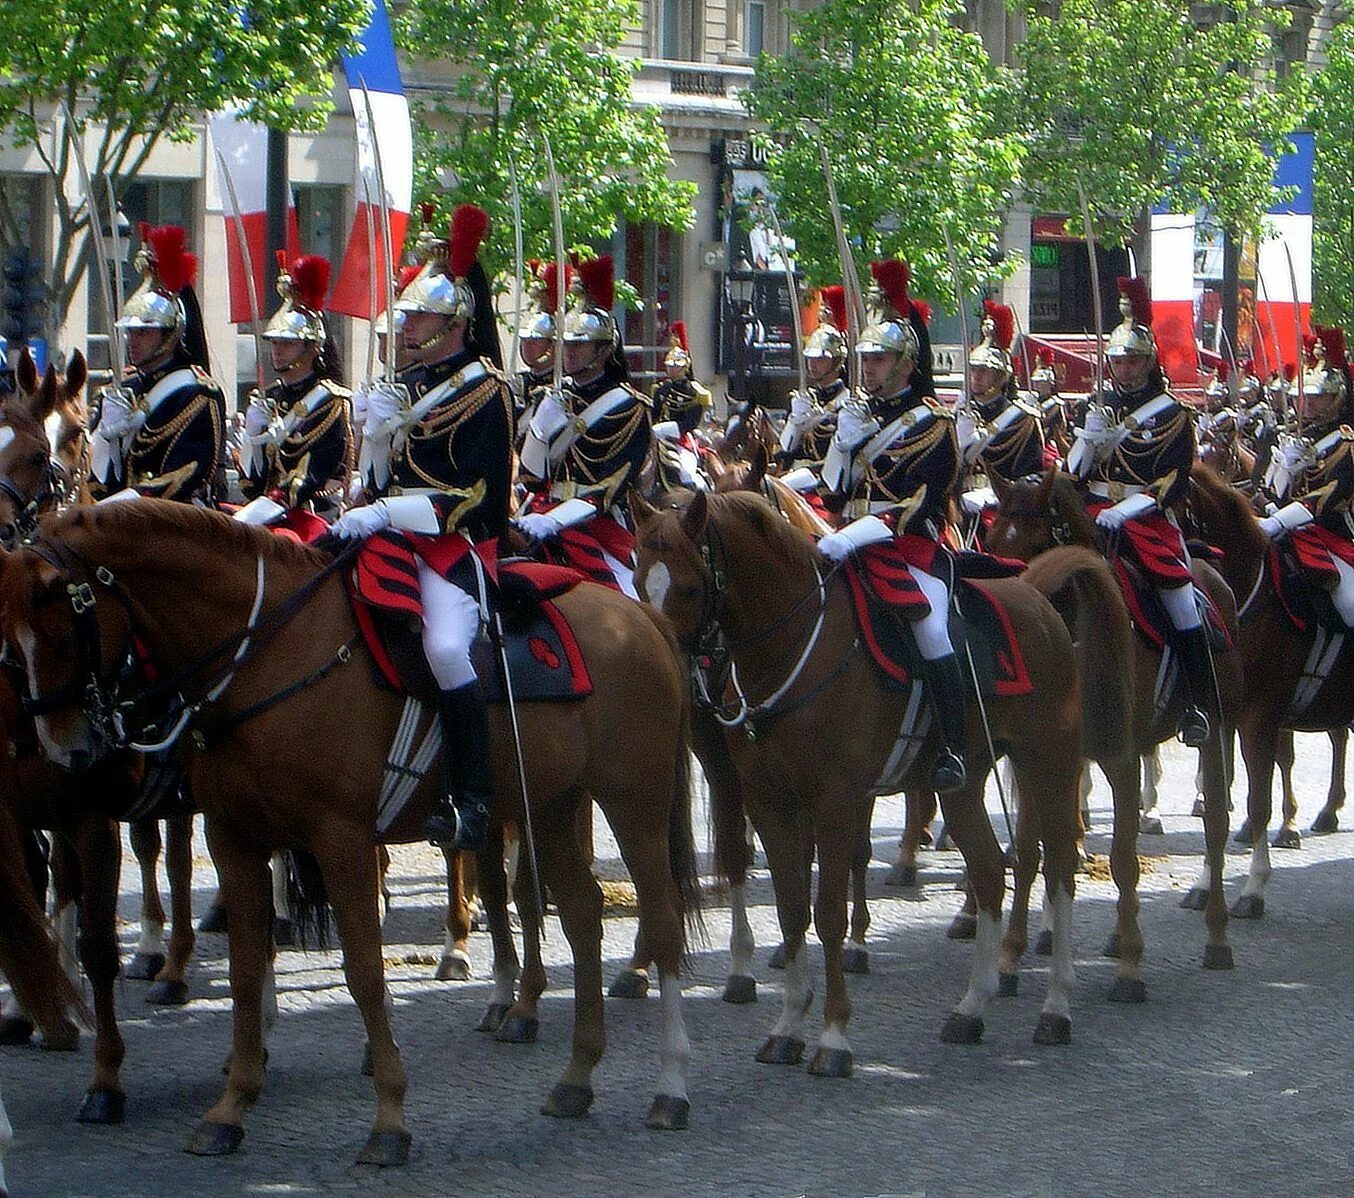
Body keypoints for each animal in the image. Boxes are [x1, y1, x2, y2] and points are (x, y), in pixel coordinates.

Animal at [0, 500, 704, 1164]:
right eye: (10, 646)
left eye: (62, 634)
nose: (67, 749)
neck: (268, 649)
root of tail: (639, 615)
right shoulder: (233, 837)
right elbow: (249, 967)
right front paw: (231, 1107)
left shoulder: (338, 839)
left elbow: (364, 970)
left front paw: (389, 1118)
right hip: (557, 802)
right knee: (583, 917)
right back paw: (576, 1078)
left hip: (633, 804)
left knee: (661, 918)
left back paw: (670, 1086)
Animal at [633, 487, 1088, 1077]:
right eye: (638, 580)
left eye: (689, 587)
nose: (671, 671)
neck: (794, 644)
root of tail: (1036, 598)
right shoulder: (769, 804)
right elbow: (791, 909)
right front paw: (787, 1028)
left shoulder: (834, 803)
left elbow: (827, 914)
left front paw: (833, 1036)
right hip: (963, 786)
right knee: (989, 873)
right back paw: (971, 1009)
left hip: (1048, 766)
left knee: (1058, 871)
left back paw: (1055, 1008)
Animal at [985, 468, 1240, 980]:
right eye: (991, 540)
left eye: (1036, 543)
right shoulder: (1035, 758)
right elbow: (1030, 852)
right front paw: (1011, 953)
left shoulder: (1119, 758)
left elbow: (1123, 858)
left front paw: (1130, 968)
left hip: (1217, 731)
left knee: (1217, 824)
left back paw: (1217, 934)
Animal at [1180, 462, 1354, 909]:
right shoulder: (1218, 720)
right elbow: (1218, 800)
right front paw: (1205, 883)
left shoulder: (1259, 719)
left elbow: (1259, 800)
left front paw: (1254, 886)